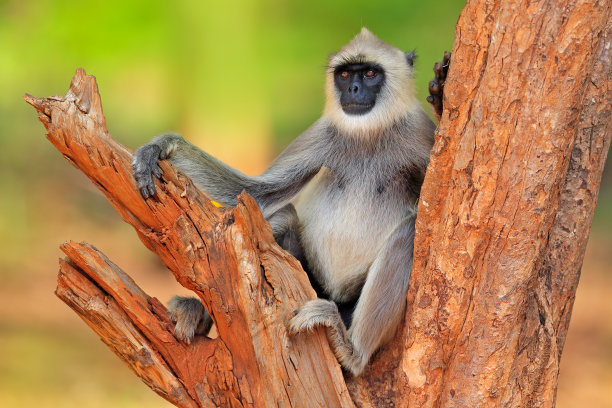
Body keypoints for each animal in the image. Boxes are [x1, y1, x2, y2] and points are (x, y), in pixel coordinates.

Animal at [131, 27, 452, 376]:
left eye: (369, 74)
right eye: (344, 75)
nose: (352, 88)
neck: (368, 134)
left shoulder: (416, 133)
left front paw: (441, 99)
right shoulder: (320, 134)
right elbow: (255, 192)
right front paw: (162, 147)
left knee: (407, 234)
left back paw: (351, 351)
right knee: (282, 216)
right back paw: (199, 311)